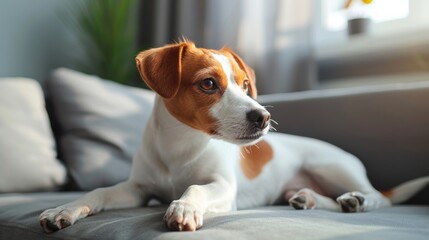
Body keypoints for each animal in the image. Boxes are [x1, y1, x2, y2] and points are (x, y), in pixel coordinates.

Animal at [38, 41, 426, 232]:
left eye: (244, 84)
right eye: (209, 84)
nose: (264, 117)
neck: (180, 145)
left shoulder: (224, 187)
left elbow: (196, 188)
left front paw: (184, 206)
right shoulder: (137, 189)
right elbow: (98, 192)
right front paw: (64, 209)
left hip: (333, 167)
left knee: (381, 199)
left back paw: (357, 200)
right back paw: (308, 199)